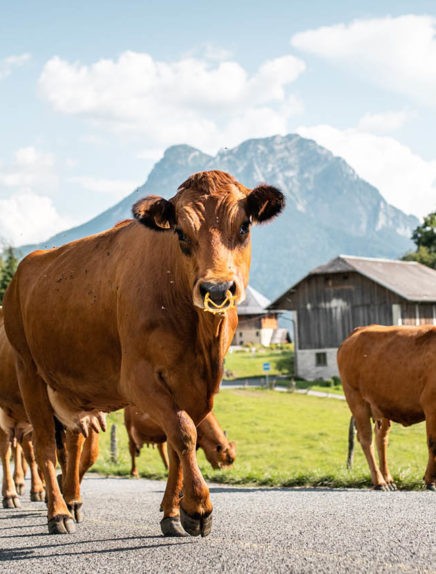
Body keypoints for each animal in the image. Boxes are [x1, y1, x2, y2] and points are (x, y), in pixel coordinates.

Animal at [2, 169, 282, 536]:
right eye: (181, 232)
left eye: (245, 226)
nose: (217, 288)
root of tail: (28, 264)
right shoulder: (138, 379)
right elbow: (184, 433)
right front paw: (199, 507)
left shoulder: (198, 386)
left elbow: (178, 442)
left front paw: (174, 513)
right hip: (29, 373)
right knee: (43, 446)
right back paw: (57, 512)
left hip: (69, 394)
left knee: (71, 446)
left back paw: (69, 500)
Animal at [338, 326, 436, 492]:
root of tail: (359, 329)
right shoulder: (431, 406)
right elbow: (433, 444)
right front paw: (431, 481)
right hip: (356, 400)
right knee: (365, 439)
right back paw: (380, 482)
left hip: (381, 407)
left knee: (381, 438)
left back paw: (388, 480)